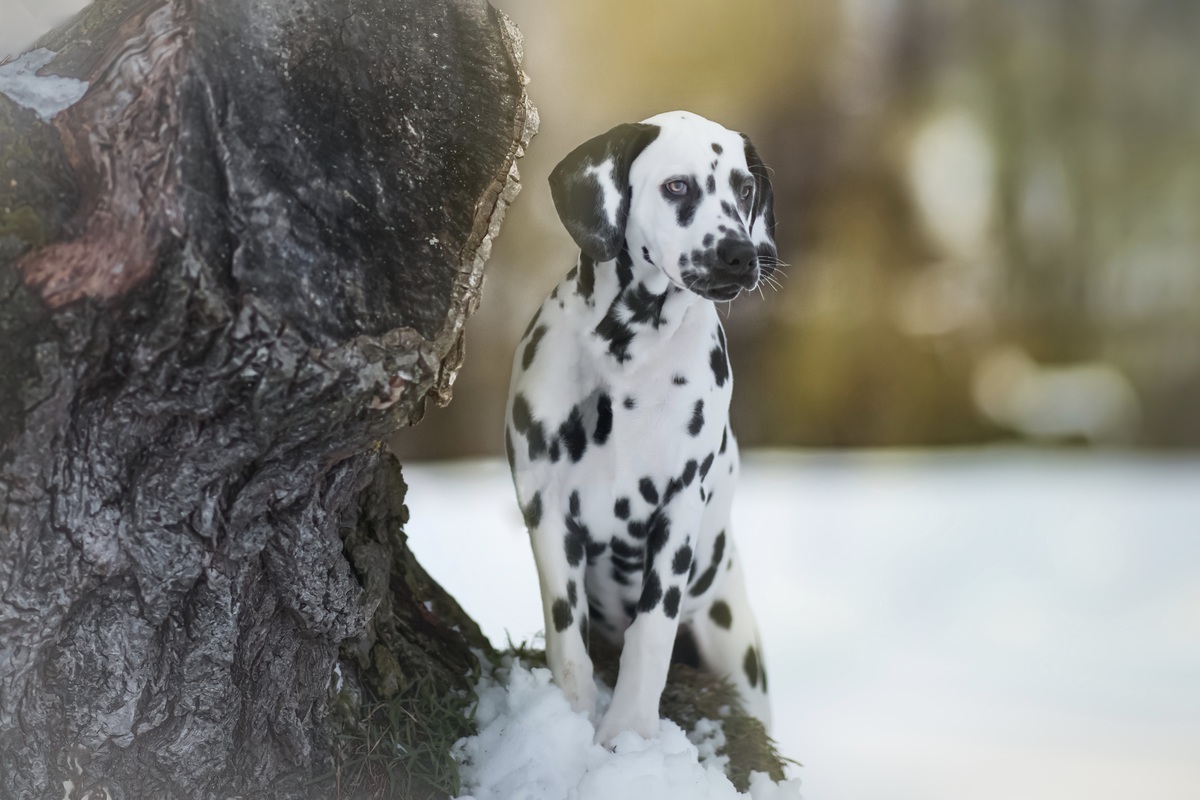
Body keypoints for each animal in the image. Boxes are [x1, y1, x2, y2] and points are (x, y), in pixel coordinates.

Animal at [504, 110, 777, 743]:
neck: (627, 353)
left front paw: (628, 733)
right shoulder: (546, 508)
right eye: (677, 186)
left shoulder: (678, 505)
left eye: (744, 188)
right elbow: (566, 638)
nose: (739, 255)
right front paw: (572, 722)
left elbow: (652, 630)